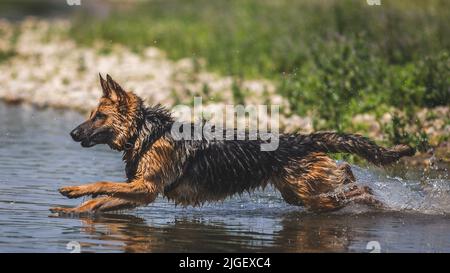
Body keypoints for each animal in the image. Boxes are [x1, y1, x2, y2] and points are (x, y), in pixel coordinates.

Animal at [49, 74, 414, 215]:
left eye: (98, 117)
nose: (72, 134)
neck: (145, 131)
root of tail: (302, 138)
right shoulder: (141, 192)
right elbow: (100, 201)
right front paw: (72, 212)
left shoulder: (145, 187)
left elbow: (100, 185)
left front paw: (72, 191)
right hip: (301, 195)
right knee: (346, 175)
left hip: (310, 193)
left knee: (352, 185)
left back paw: (373, 200)